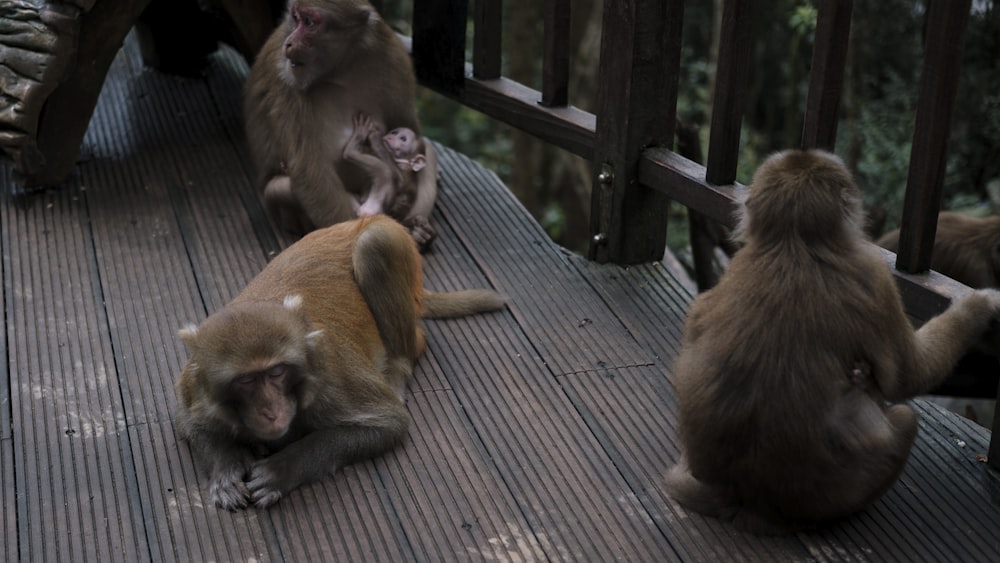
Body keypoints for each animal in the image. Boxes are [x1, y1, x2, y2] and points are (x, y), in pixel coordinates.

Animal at [174, 216, 508, 512]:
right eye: (246, 380)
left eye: (277, 372)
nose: (270, 410)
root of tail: (348, 223)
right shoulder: (193, 384)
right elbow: (190, 423)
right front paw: (226, 471)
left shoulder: (332, 377)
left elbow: (390, 422)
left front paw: (283, 469)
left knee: (376, 244)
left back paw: (399, 366)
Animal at [243, 0, 438, 249]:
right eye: (296, 17)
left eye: (309, 22)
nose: (289, 42)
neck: (342, 68)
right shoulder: (286, 78)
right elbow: (311, 172)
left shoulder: (391, 53)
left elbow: (408, 125)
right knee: (279, 188)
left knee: (428, 152)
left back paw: (419, 232)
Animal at [664, 149, 1000, 532]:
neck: (793, 243)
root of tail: (746, 500)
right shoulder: (875, 277)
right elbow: (909, 376)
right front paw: (980, 304)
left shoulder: (725, 277)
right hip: (847, 488)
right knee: (904, 417)